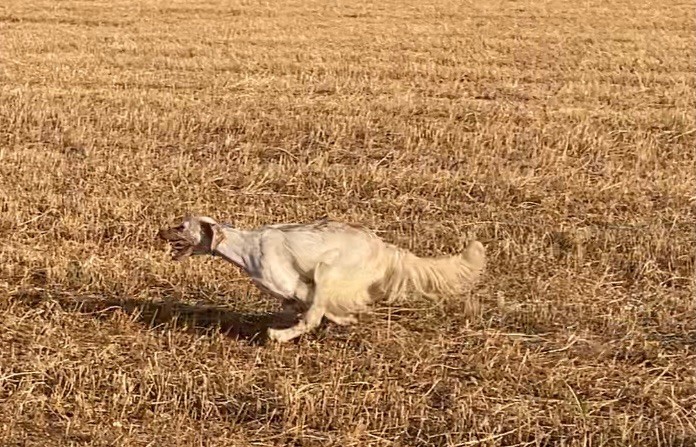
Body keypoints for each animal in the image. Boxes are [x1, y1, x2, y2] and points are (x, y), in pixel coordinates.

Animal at [158, 217, 486, 344]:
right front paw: (346, 319)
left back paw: (280, 336)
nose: (159, 231)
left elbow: (313, 312)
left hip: (327, 269)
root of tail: (385, 247)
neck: (245, 246)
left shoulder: (297, 286)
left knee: (314, 314)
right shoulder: (294, 296)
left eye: (181, 225)